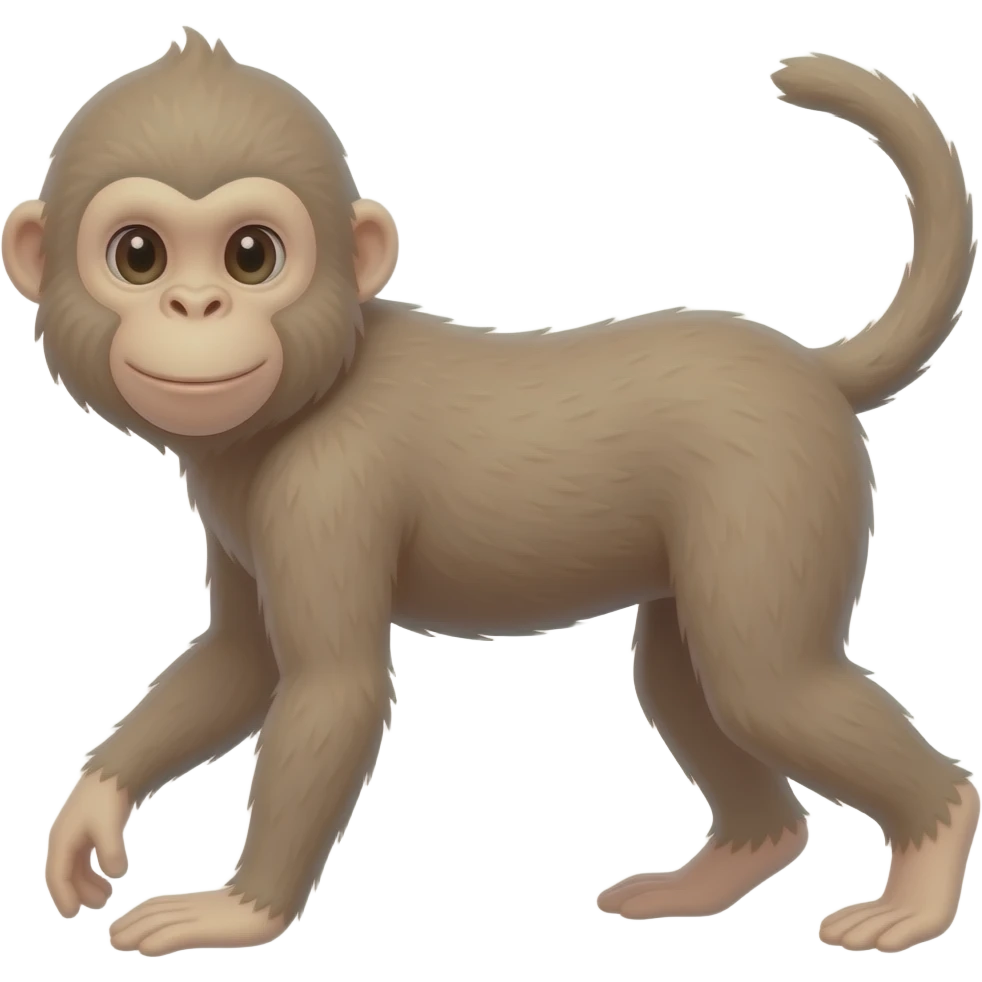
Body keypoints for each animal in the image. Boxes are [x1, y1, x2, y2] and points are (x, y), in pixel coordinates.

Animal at [4, 29, 977, 956]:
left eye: (252, 256)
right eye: (140, 256)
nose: (196, 306)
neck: (321, 381)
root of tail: (810, 370)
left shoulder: (327, 488)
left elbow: (332, 689)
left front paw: (238, 911)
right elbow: (241, 661)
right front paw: (91, 811)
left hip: (778, 481)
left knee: (764, 684)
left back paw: (929, 862)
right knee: (687, 679)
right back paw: (730, 865)